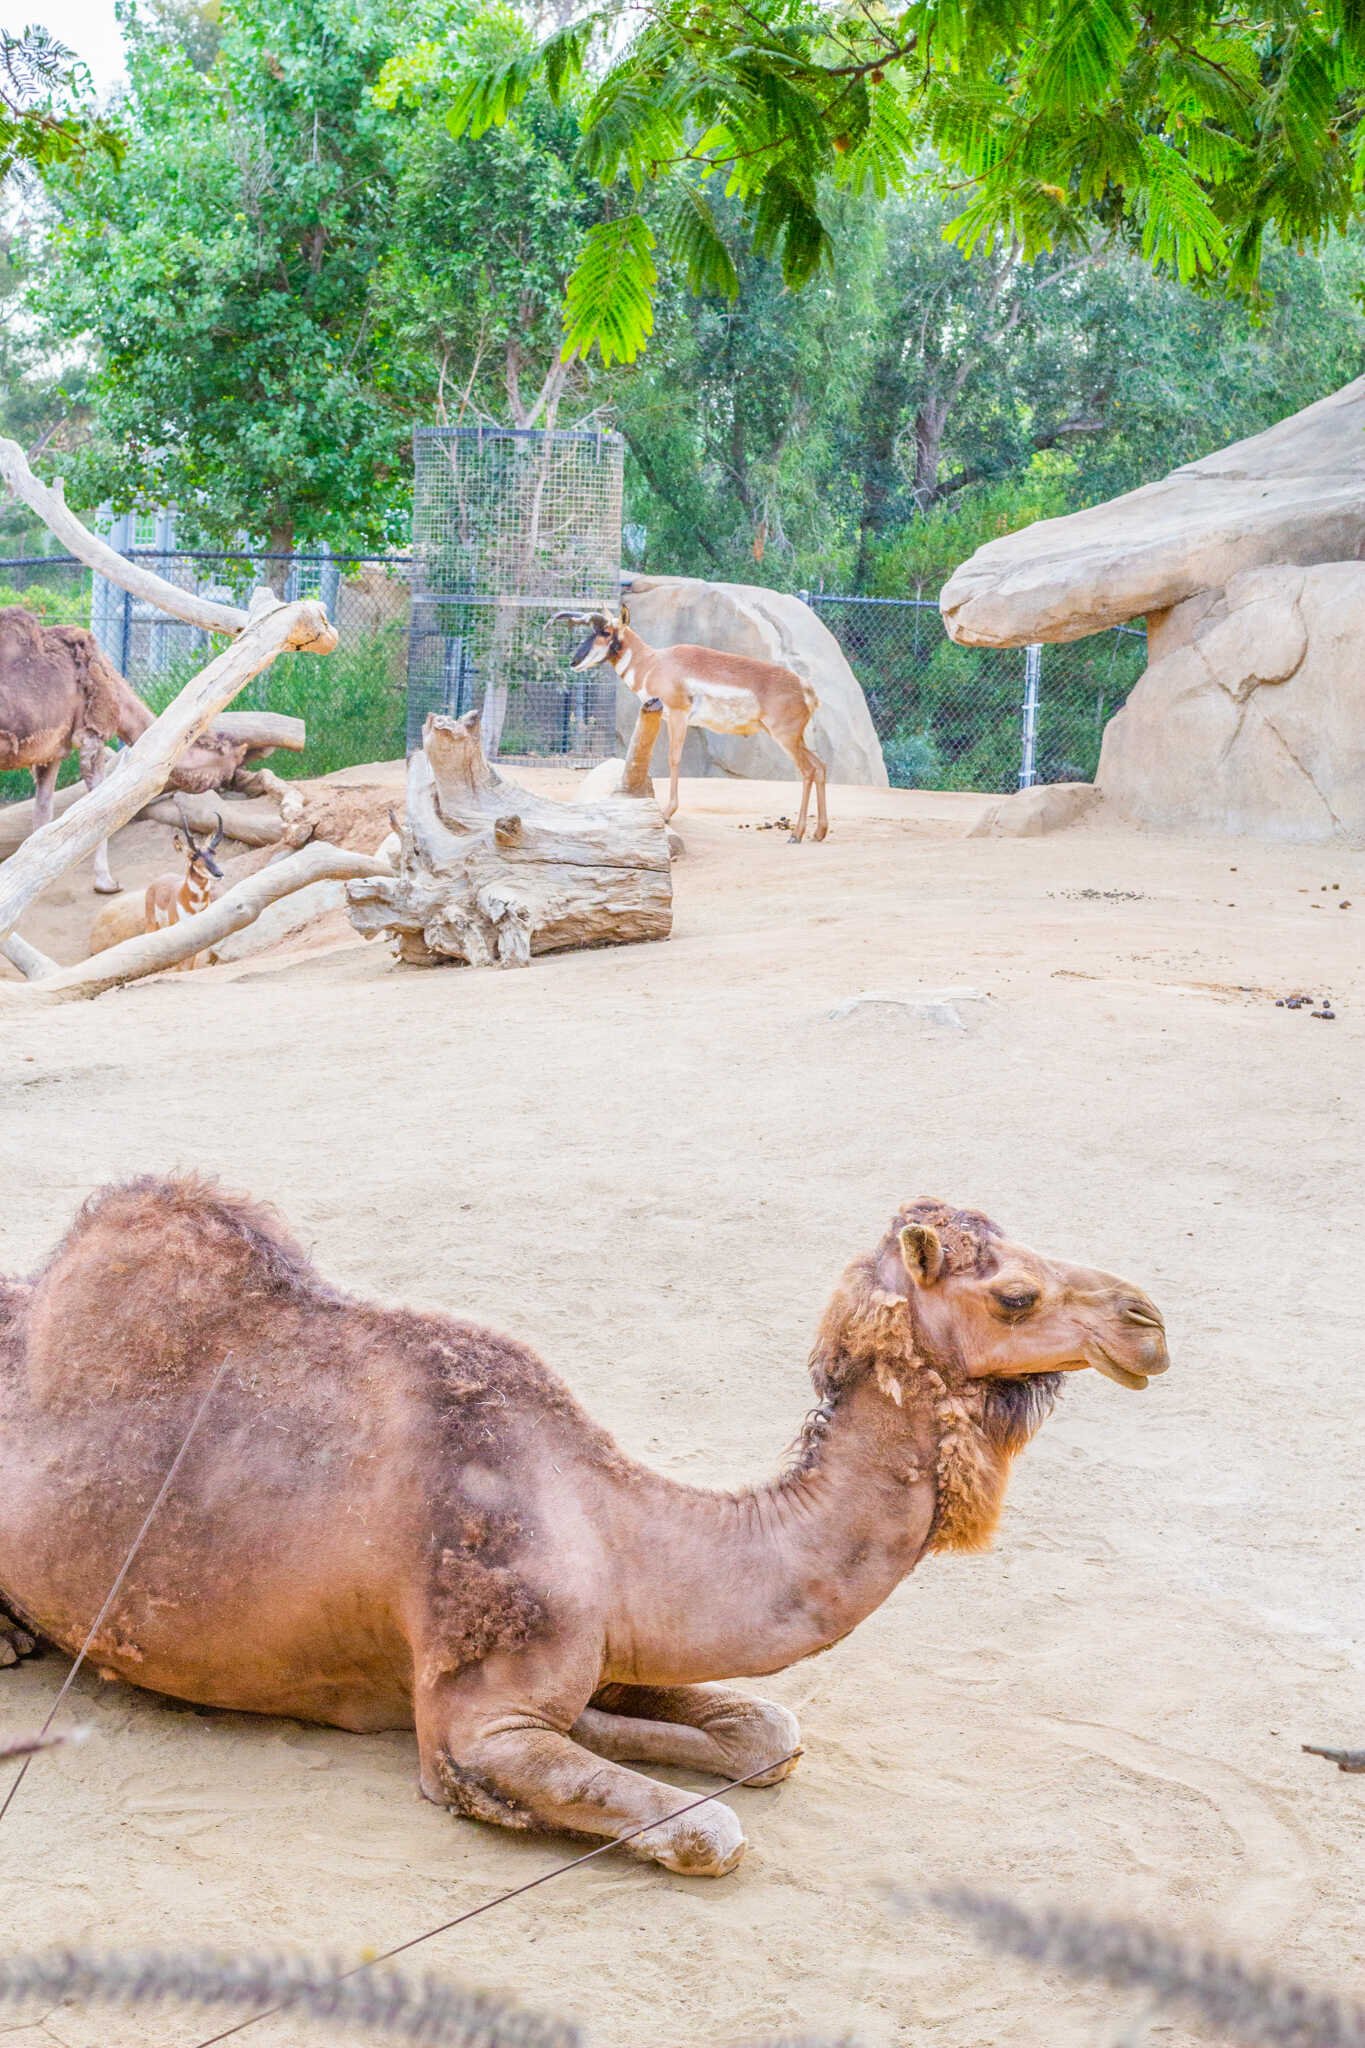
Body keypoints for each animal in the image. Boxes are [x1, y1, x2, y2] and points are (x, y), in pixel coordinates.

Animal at [0, 1187, 1178, 1875]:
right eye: (1015, 1294)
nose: (1148, 1321)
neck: (612, 1521)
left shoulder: (605, 1640)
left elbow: (763, 1735)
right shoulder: (475, 1719)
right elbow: (706, 1826)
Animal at [556, 602, 834, 843]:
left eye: (605, 631)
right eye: (592, 630)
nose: (574, 661)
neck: (654, 662)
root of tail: (805, 687)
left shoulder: (678, 717)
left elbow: (673, 758)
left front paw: (667, 813)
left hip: (786, 739)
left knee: (808, 771)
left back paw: (796, 834)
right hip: (794, 740)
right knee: (820, 766)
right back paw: (818, 832)